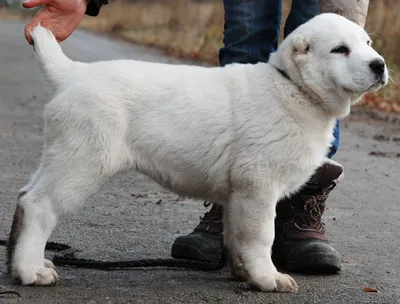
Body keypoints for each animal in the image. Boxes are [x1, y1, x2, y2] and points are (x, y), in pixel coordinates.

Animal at [6, 13, 388, 292]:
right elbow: (261, 236)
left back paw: (21, 263)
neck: (292, 87)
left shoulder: (238, 194)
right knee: (40, 206)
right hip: (84, 161)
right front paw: (267, 278)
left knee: (26, 197)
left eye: (367, 44)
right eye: (340, 50)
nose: (380, 64)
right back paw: (29, 272)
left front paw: (244, 272)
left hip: (64, 155)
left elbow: (237, 235)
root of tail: (74, 74)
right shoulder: (258, 186)